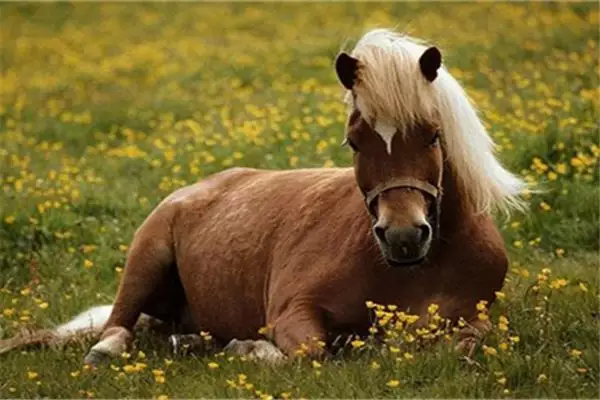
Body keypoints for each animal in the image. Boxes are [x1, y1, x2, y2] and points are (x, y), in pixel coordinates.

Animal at [0, 29, 524, 364]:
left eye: (433, 135)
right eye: (355, 142)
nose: (403, 236)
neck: (416, 271)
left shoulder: (474, 320)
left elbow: (463, 343)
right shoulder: (293, 311)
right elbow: (309, 351)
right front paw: (249, 348)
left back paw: (191, 344)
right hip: (145, 257)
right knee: (117, 324)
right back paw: (113, 349)